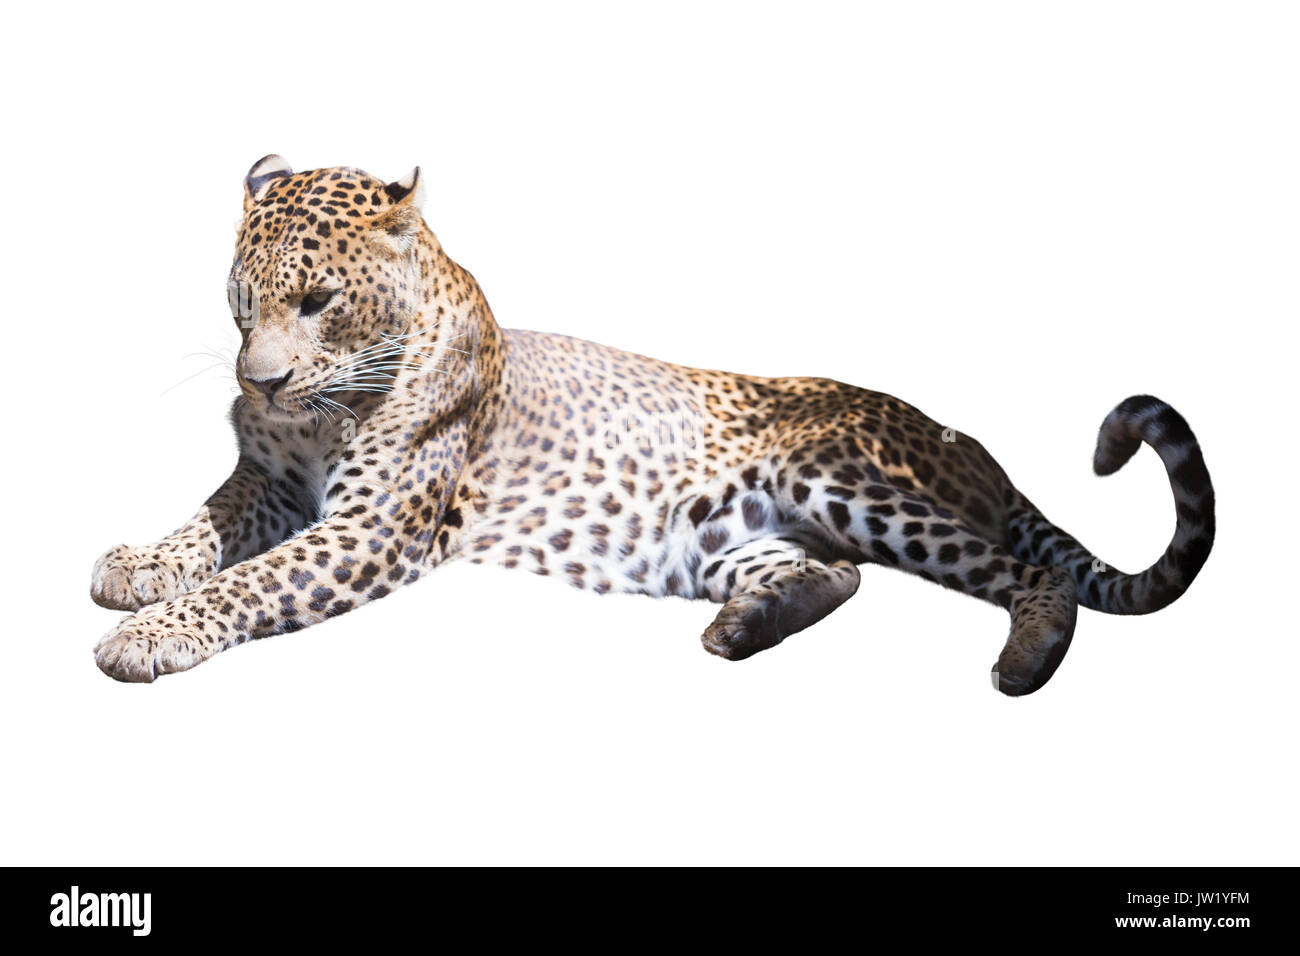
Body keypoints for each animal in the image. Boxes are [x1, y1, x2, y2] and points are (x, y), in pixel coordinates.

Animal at [90, 156, 1216, 695]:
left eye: (319, 300)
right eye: (241, 304)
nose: (260, 383)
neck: (326, 415)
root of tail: (962, 439)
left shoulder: (368, 528)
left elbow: (251, 581)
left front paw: (148, 633)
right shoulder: (270, 481)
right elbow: (206, 525)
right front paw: (138, 566)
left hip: (838, 479)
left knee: (1034, 574)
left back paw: (1025, 663)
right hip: (727, 538)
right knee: (835, 578)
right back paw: (740, 630)